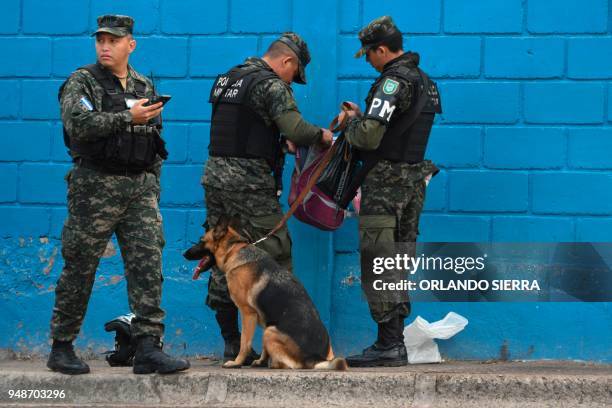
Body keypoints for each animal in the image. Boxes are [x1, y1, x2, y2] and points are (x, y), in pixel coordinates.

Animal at [182, 215, 346, 372]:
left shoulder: (247, 313)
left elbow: (245, 343)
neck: (234, 250)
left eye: (201, 241)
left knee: (287, 365)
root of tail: (314, 358)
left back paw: (273, 364)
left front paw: (237, 362)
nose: (184, 254)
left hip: (269, 330)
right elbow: (263, 348)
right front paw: (260, 361)